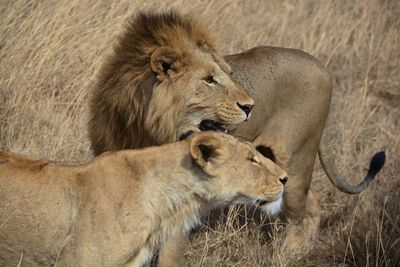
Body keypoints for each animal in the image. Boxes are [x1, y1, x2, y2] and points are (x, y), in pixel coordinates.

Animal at [87, 10, 384, 266]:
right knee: (313, 200)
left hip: (298, 155)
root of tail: (321, 66)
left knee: (298, 211)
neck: (143, 126)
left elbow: (169, 255)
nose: (250, 106)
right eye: (209, 79)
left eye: (229, 75)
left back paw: (288, 255)